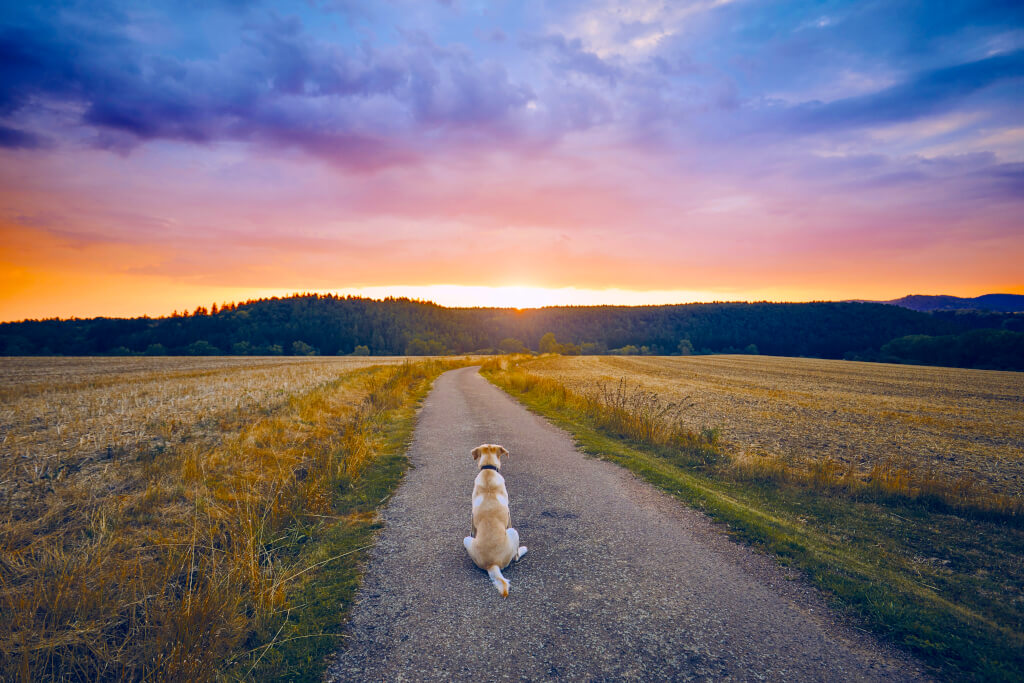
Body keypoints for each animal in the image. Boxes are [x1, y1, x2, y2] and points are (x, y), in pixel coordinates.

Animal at [464, 444, 528, 598]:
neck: (488, 470)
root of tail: (492, 564)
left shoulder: (472, 515)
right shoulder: (509, 515)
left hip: (466, 539)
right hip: (513, 531)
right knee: (516, 557)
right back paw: (523, 550)